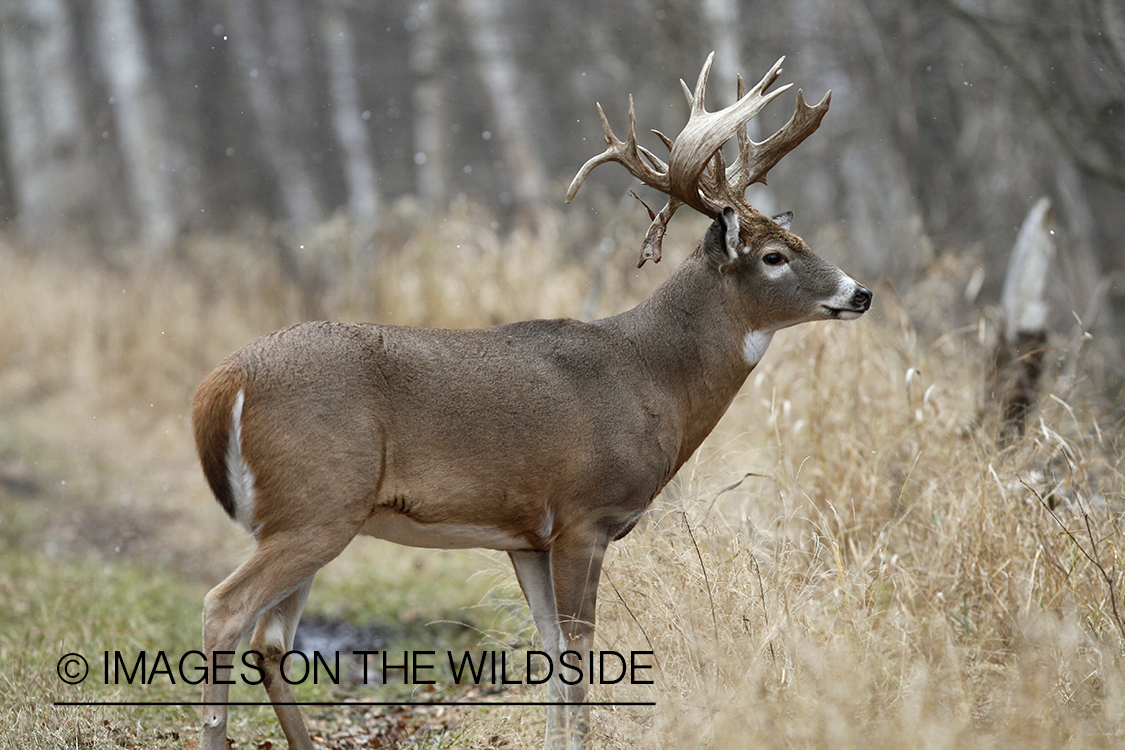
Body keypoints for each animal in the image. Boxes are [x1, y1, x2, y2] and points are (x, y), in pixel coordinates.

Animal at [193, 54, 868, 750]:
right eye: (775, 255)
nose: (861, 292)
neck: (653, 378)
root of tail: (221, 384)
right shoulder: (585, 513)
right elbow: (581, 649)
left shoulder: (527, 539)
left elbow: (551, 652)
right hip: (317, 502)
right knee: (225, 609)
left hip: (306, 514)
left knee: (272, 638)